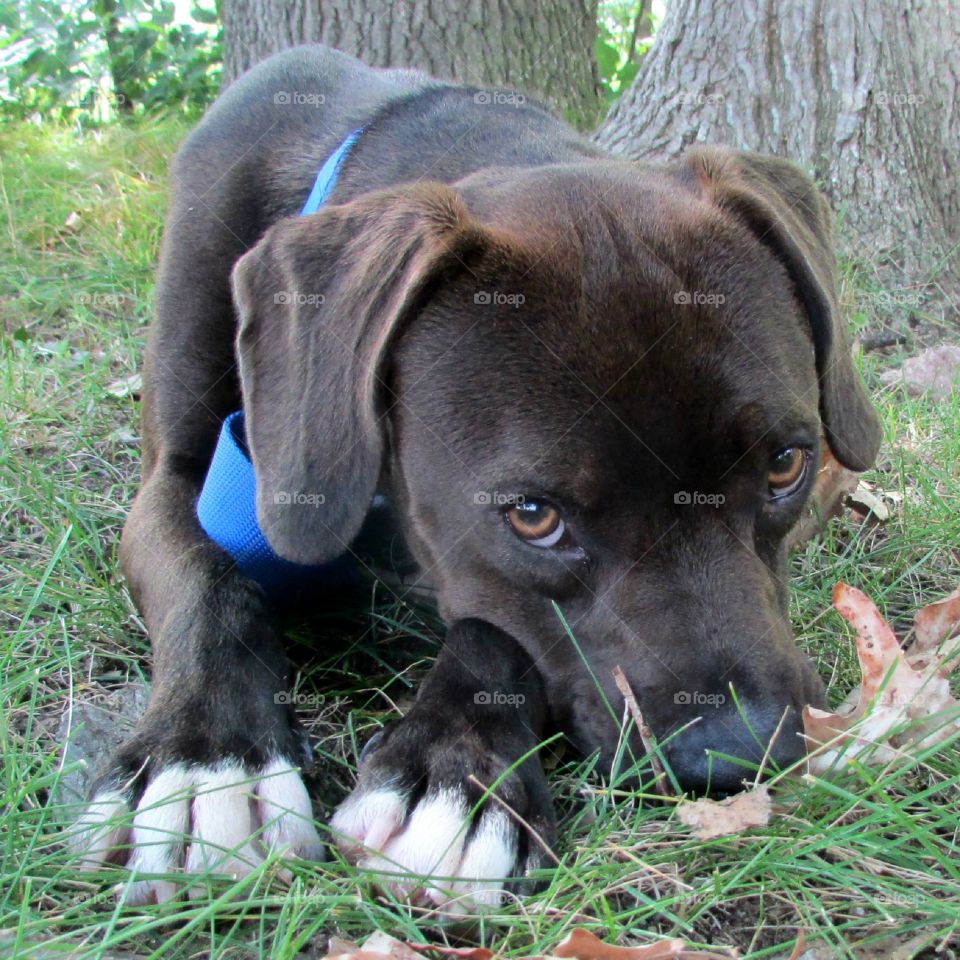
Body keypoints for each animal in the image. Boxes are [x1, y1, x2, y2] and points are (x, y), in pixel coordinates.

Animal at [75, 45, 876, 912]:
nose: (743, 754)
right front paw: (206, 765)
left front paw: (453, 778)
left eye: (784, 465)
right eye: (533, 515)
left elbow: (493, 625)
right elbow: (207, 578)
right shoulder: (179, 480)